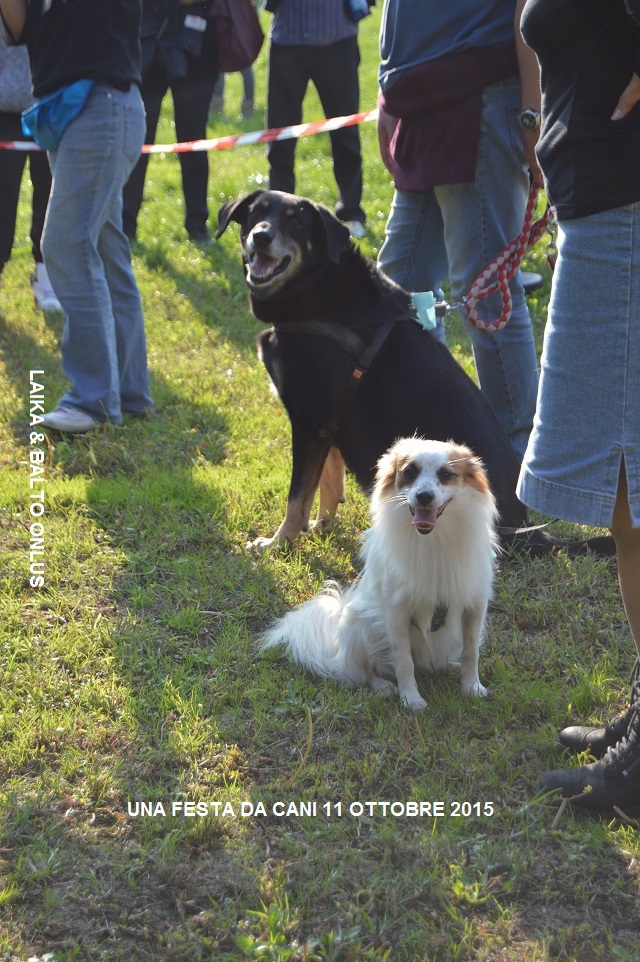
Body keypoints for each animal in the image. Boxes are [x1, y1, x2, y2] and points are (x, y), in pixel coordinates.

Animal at [218, 189, 612, 556]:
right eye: (255, 213)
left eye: (296, 222)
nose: (261, 237)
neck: (317, 289)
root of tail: (527, 533)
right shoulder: (327, 421)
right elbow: (328, 481)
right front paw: (319, 527)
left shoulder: (311, 418)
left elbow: (298, 493)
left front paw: (278, 542)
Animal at [262, 438, 500, 708]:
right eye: (409, 472)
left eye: (446, 475)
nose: (424, 496)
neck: (434, 540)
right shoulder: (396, 611)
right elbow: (404, 661)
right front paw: (410, 699)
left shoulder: (474, 604)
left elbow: (471, 652)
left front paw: (472, 687)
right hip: (360, 625)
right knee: (361, 673)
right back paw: (383, 686)